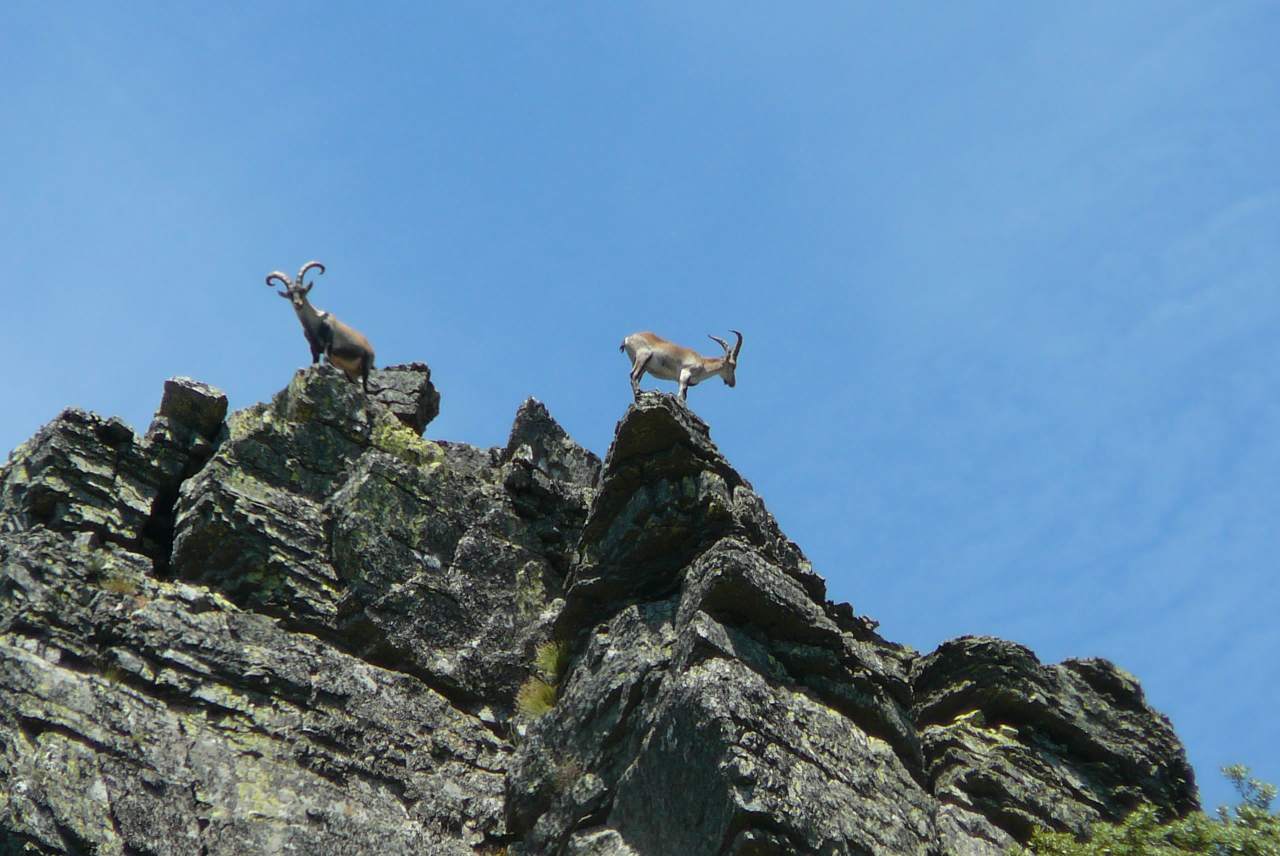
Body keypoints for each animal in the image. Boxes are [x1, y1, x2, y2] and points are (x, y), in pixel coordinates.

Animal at [265, 261, 376, 393]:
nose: (298, 304)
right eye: (289, 294)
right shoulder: (313, 348)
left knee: (366, 387)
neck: (315, 322)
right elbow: (314, 361)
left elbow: (326, 359)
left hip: (366, 363)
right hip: (350, 371)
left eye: (303, 291)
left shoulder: (328, 342)